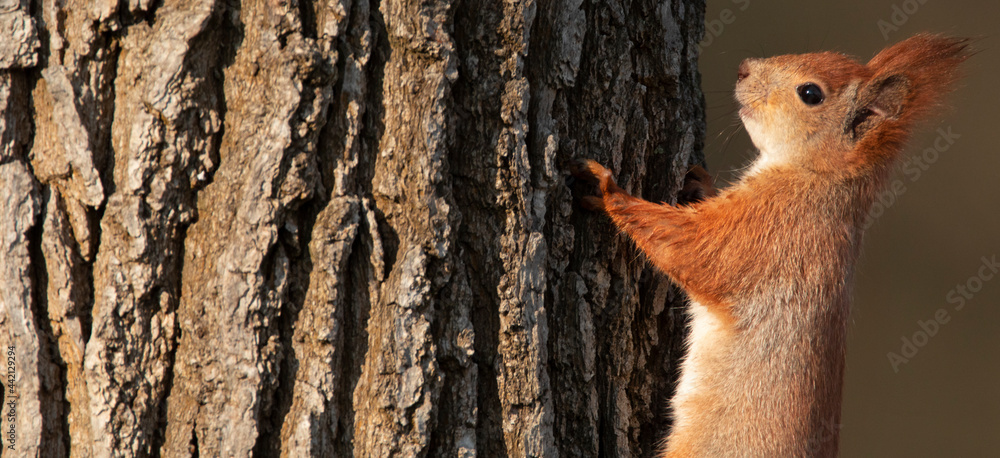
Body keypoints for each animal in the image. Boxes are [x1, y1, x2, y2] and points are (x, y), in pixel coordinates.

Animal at [576, 34, 972, 456]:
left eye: (811, 93)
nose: (744, 68)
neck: (818, 176)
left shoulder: (768, 229)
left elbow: (693, 249)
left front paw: (608, 191)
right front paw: (699, 184)